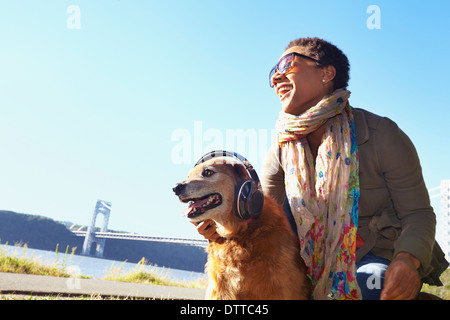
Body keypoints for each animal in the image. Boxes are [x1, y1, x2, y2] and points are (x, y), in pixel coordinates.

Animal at [172, 152, 310, 300]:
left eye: (208, 172)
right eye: (188, 176)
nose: (176, 188)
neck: (237, 234)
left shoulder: (277, 288)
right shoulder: (220, 288)